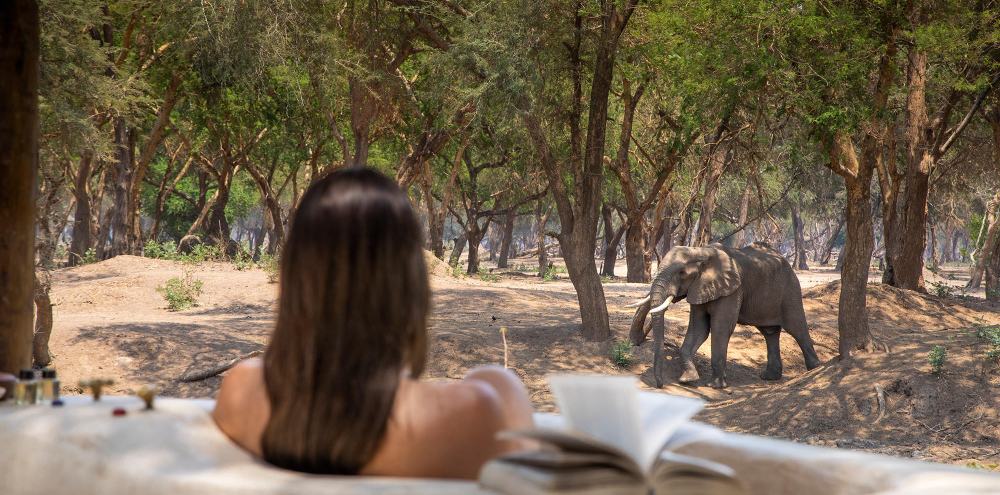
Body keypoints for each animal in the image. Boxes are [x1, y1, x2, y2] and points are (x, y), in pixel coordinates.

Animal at [626, 243, 821, 388]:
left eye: (681, 273)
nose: (659, 385)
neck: (701, 251)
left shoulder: (732, 290)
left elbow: (721, 328)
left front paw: (715, 386)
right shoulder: (699, 288)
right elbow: (699, 329)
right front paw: (688, 379)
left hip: (790, 288)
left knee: (796, 327)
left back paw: (814, 369)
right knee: (770, 332)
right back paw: (769, 377)